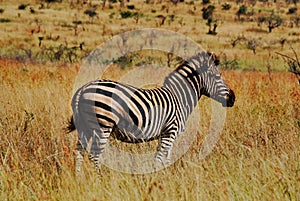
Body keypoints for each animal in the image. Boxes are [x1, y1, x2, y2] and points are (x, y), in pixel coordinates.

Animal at [67, 51, 236, 172]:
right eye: (217, 76)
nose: (233, 98)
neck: (180, 99)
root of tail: (82, 89)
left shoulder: (166, 134)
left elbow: (165, 159)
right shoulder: (170, 132)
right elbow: (160, 158)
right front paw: (158, 179)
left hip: (85, 127)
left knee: (79, 152)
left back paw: (79, 179)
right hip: (103, 126)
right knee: (95, 155)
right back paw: (100, 180)